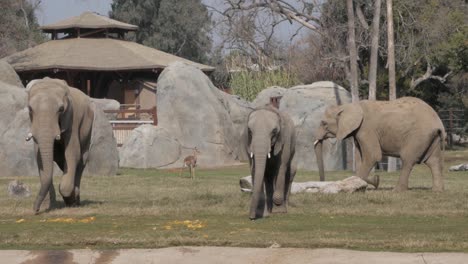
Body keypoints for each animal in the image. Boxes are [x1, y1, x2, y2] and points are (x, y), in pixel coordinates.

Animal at [25, 77, 94, 213]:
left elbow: (72, 153)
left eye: (61, 109)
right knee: (63, 162)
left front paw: (70, 200)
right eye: (30, 109)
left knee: (81, 161)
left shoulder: (72, 119)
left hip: (88, 128)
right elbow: (39, 157)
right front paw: (47, 206)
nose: (35, 210)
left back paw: (75, 201)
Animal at [314, 97, 446, 192]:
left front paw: (366, 184)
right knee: (434, 161)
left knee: (408, 160)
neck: (348, 105)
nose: (322, 184)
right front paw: (374, 181)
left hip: (418, 136)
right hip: (431, 138)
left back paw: (397, 191)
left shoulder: (366, 129)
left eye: (324, 123)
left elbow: (373, 156)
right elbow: (362, 157)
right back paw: (437, 191)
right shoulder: (358, 132)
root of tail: (439, 123)